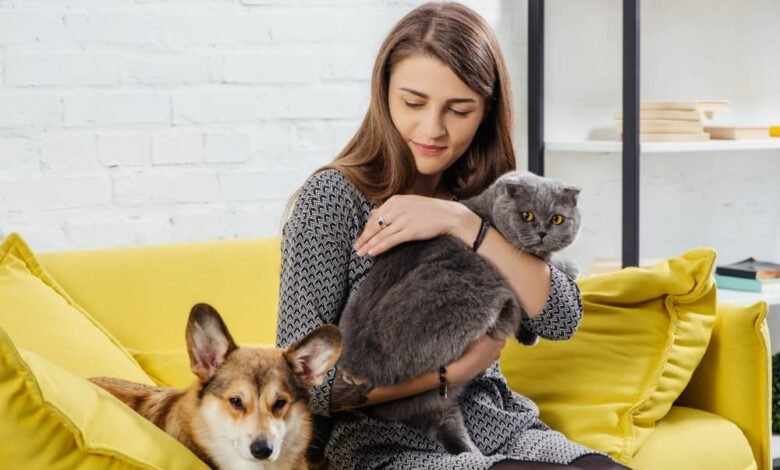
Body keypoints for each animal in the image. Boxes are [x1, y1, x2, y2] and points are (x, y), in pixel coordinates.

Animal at [336, 171, 580, 454]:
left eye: (557, 219)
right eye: (526, 215)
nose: (542, 232)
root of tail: (355, 363)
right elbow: (551, 264)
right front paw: (569, 266)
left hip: (434, 402)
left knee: (446, 426)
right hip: (473, 283)